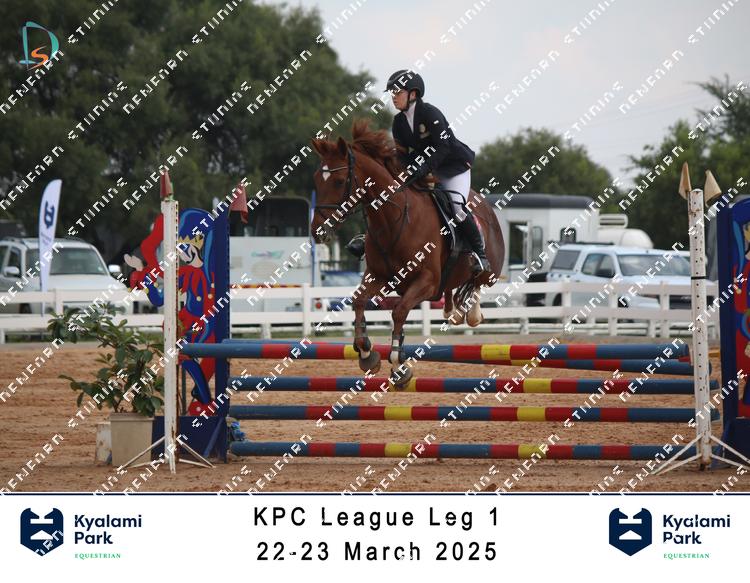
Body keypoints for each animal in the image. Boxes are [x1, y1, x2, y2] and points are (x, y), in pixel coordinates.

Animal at [311, 119, 505, 387]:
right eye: (316, 181)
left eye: (339, 181)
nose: (317, 232)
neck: (392, 220)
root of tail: (487, 207)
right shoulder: (378, 276)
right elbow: (359, 301)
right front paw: (366, 353)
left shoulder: (426, 282)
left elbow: (399, 311)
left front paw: (397, 364)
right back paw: (451, 311)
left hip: (489, 268)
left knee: (479, 282)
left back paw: (471, 309)